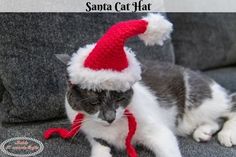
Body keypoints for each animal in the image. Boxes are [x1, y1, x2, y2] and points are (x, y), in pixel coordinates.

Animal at [57, 54, 236, 157]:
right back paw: (203, 131)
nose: (110, 117)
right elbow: (99, 145)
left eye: (120, 98)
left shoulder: (157, 130)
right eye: (94, 102)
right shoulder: (92, 132)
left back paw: (227, 134)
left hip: (200, 100)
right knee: (215, 120)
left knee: (230, 108)